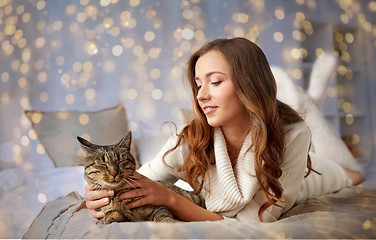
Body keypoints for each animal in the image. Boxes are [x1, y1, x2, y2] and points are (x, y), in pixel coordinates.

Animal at [77, 130, 206, 224]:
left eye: (120, 161)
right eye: (103, 164)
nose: (114, 173)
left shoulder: (158, 207)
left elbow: (162, 217)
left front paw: (172, 222)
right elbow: (112, 215)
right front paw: (110, 218)